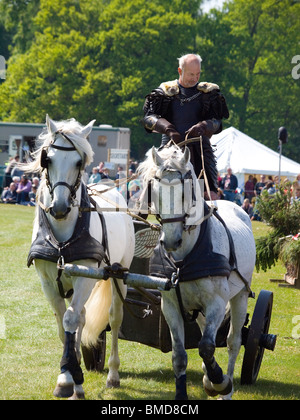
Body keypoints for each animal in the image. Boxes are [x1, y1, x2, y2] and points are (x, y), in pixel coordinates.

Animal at [27, 116, 135, 398]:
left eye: (79, 162)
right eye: (47, 159)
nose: (60, 207)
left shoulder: (85, 277)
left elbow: (70, 318)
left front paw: (66, 378)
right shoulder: (48, 281)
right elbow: (62, 324)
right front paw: (71, 374)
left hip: (120, 275)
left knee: (114, 318)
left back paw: (113, 375)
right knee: (82, 316)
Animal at [138, 145, 255, 400]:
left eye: (185, 192)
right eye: (155, 192)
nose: (171, 241)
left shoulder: (217, 303)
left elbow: (207, 347)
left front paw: (219, 381)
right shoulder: (170, 305)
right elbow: (180, 356)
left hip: (240, 296)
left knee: (233, 342)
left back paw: (225, 387)